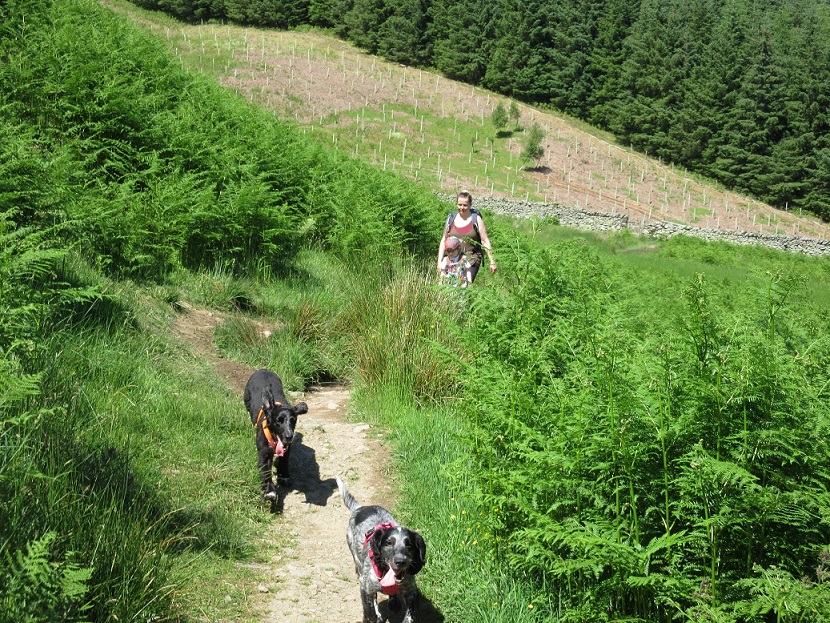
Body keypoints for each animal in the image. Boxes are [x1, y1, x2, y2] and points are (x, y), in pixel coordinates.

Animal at [243, 369, 308, 500]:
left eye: (293, 420)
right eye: (279, 421)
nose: (289, 436)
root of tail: (263, 369)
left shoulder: (286, 448)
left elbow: (284, 461)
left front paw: (284, 477)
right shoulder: (265, 451)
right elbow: (266, 469)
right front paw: (269, 491)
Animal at [336, 476, 426, 623]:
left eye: (409, 544)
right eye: (389, 543)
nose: (400, 561)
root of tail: (360, 508)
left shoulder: (411, 590)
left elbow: (410, 614)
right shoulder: (365, 586)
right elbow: (370, 609)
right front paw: (373, 616)